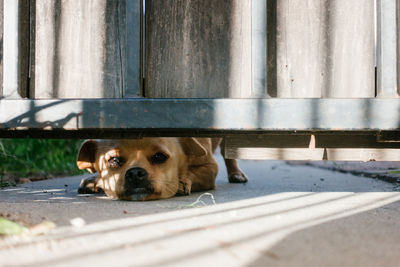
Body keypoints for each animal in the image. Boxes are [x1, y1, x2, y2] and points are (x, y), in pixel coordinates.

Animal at [76, 138, 247, 201]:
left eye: (159, 156)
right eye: (114, 160)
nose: (135, 172)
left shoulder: (210, 167)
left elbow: (190, 172)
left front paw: (181, 182)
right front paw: (93, 181)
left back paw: (236, 173)